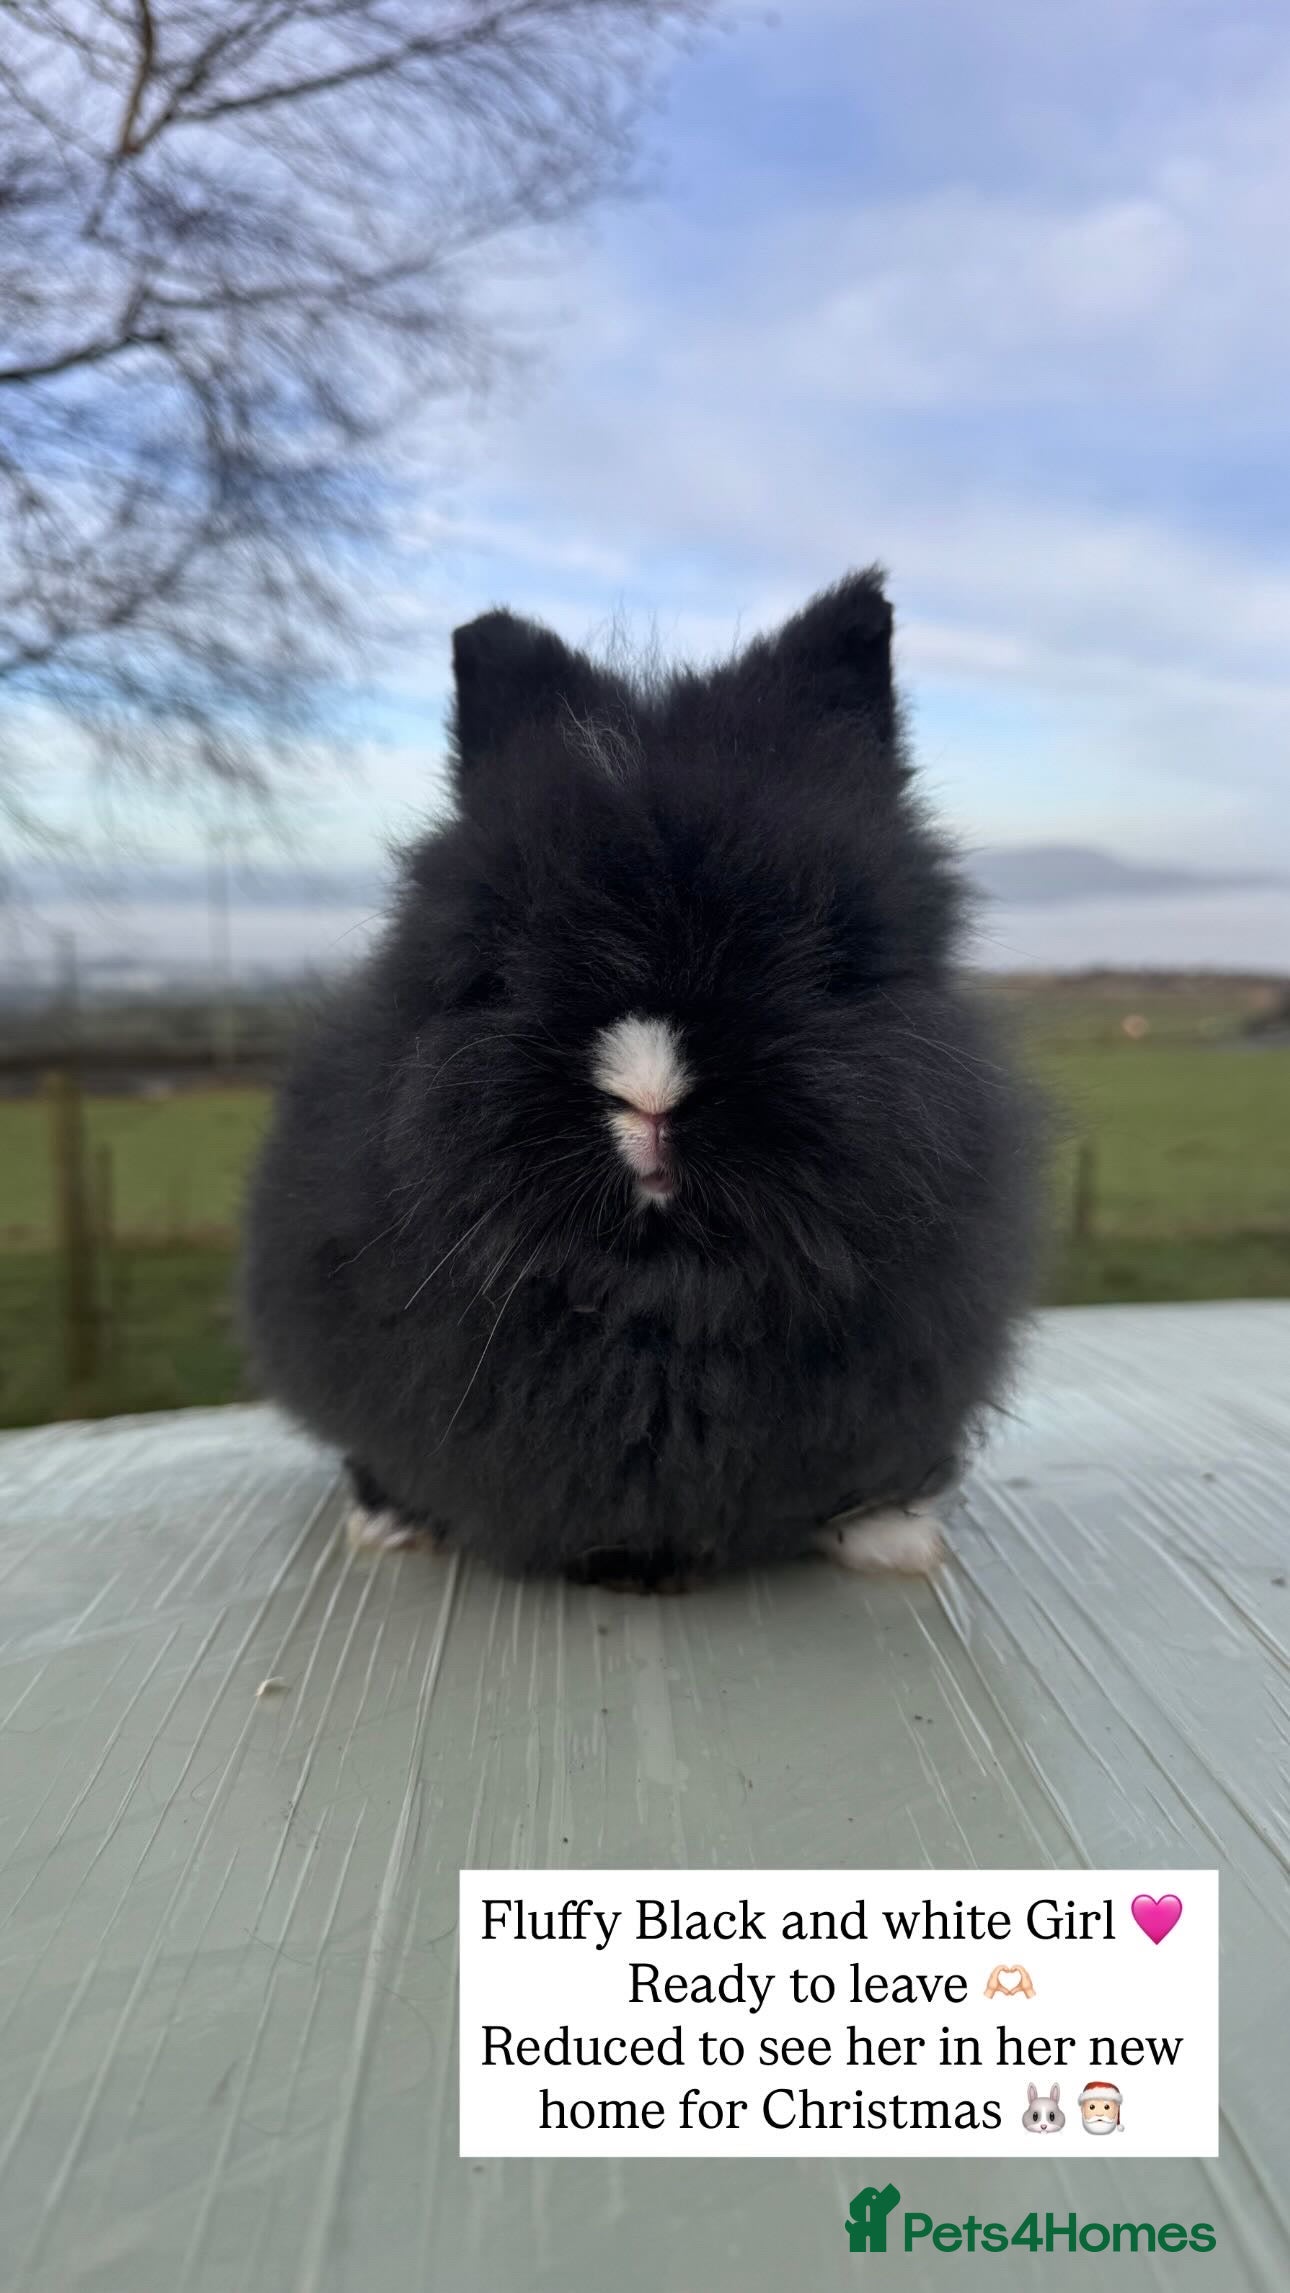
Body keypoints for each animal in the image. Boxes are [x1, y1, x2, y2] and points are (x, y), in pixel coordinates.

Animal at [241, 569, 1043, 1586]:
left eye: (828, 960)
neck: (661, 1287)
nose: (650, 1091)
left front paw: (896, 1542)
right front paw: (389, 1522)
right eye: (498, 969)